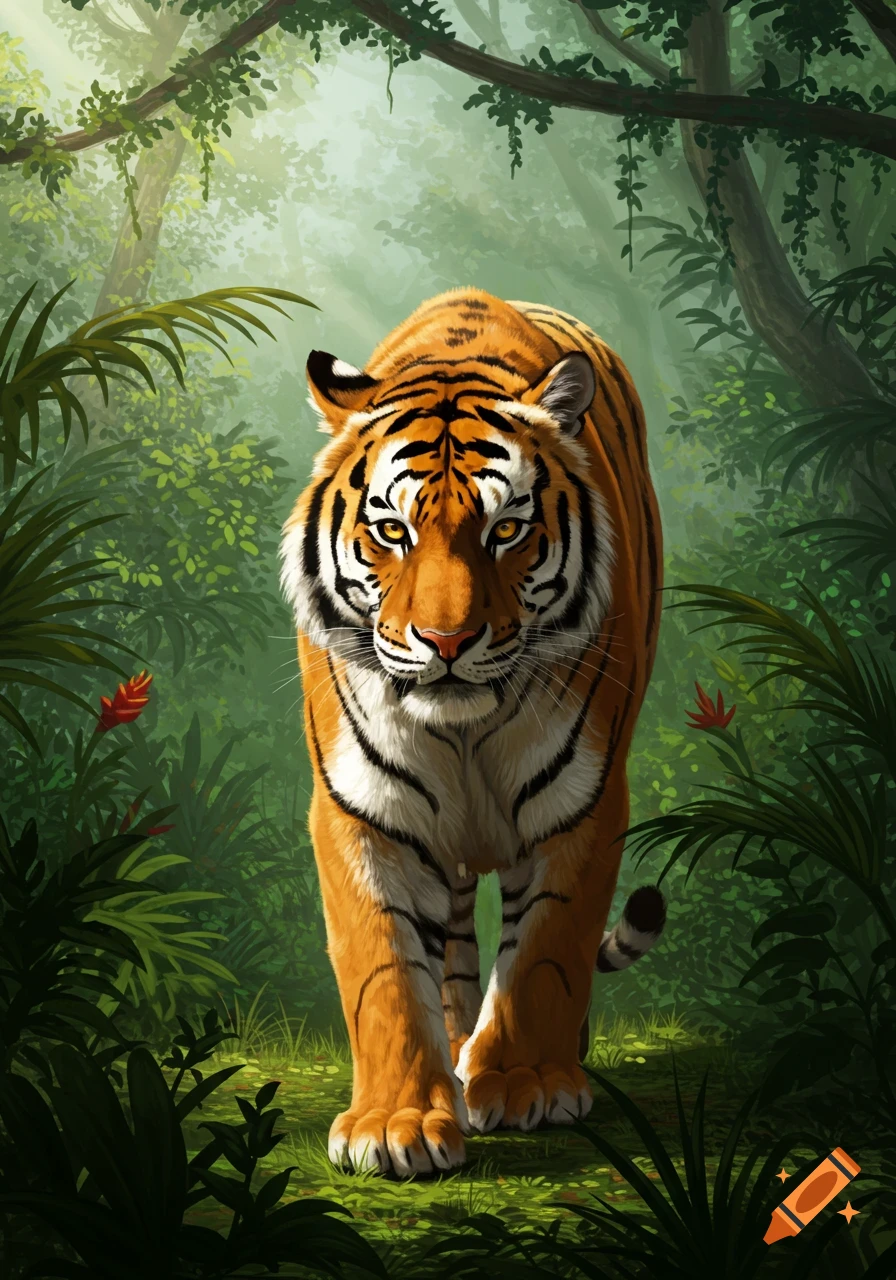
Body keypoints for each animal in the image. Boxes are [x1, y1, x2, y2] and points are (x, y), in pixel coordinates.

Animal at [279, 287, 665, 1178]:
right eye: (393, 532)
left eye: (505, 531)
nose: (446, 641)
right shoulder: (363, 806)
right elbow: (383, 965)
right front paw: (394, 1122)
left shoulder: (582, 799)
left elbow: (548, 950)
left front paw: (526, 1084)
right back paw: (454, 1053)